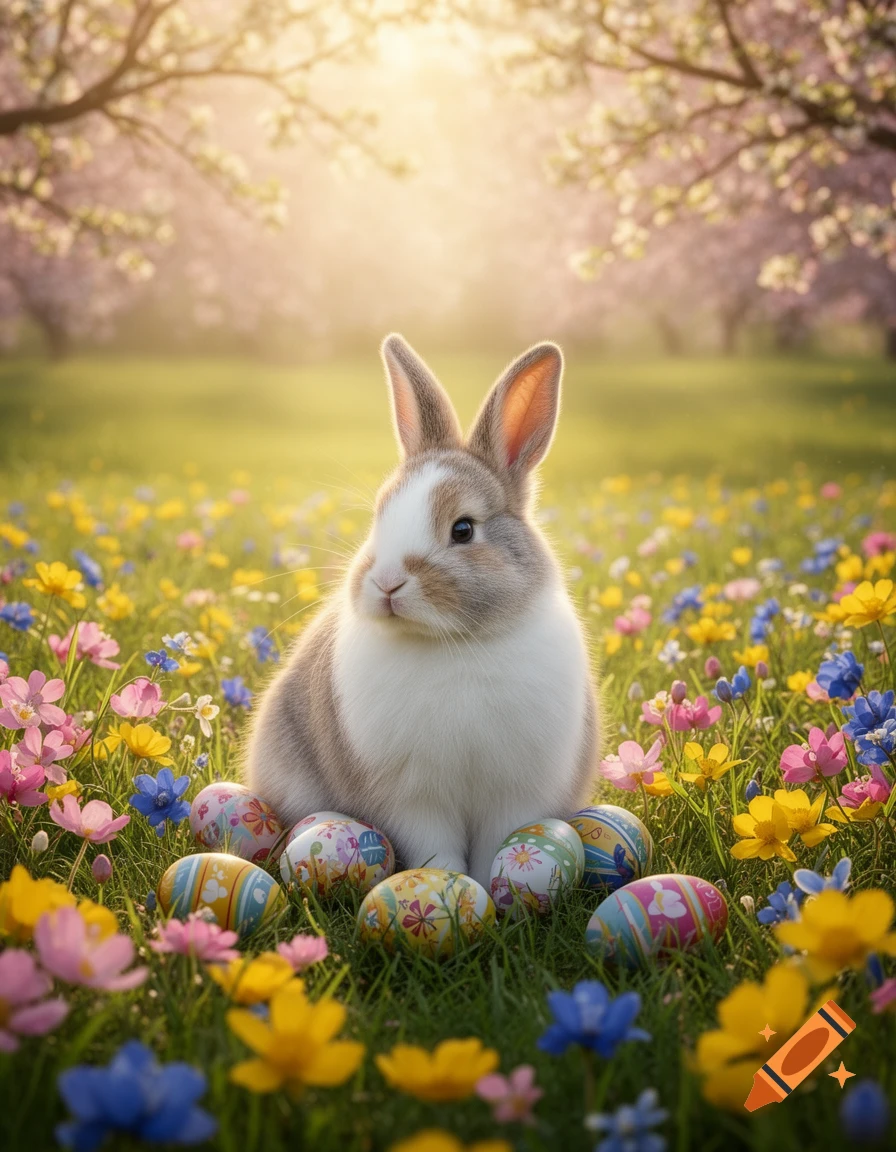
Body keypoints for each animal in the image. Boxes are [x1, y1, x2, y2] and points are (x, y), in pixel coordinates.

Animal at [244, 334, 599, 889]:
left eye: (463, 529)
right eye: (378, 518)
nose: (387, 583)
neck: (454, 644)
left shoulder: (514, 793)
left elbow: (497, 846)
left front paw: (491, 891)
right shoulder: (413, 799)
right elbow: (438, 850)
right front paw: (450, 888)